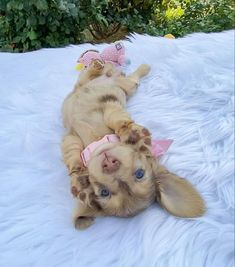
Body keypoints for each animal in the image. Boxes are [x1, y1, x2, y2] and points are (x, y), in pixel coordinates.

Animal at [61, 60, 206, 230]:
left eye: (139, 174)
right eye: (104, 192)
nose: (110, 164)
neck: (97, 140)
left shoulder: (112, 108)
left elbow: (117, 117)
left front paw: (132, 132)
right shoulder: (71, 137)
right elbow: (72, 154)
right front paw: (77, 175)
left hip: (128, 87)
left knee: (132, 79)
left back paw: (141, 67)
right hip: (85, 84)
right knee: (86, 79)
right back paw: (98, 65)